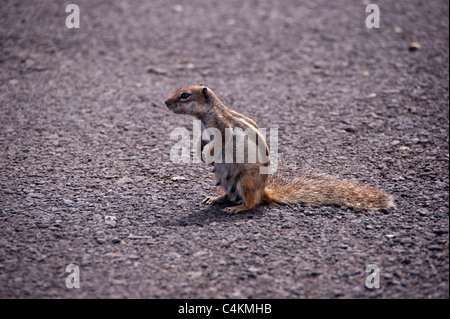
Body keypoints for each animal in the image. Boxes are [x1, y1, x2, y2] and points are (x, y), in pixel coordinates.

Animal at [165, 85, 394, 215]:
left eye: (185, 95)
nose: (165, 101)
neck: (207, 114)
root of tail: (263, 191)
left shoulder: (222, 127)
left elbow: (219, 142)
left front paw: (207, 154)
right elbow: (202, 141)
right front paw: (200, 152)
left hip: (246, 181)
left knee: (251, 203)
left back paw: (236, 208)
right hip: (222, 180)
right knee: (230, 195)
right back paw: (216, 198)